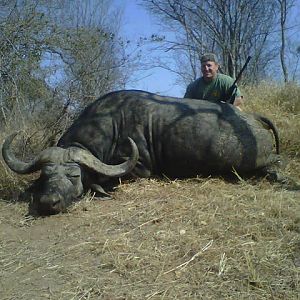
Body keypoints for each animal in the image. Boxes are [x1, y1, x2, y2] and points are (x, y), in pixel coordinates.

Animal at [2, 90, 284, 214]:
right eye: (46, 175)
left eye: (73, 176)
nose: (48, 202)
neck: (111, 122)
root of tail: (251, 119)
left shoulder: (140, 168)